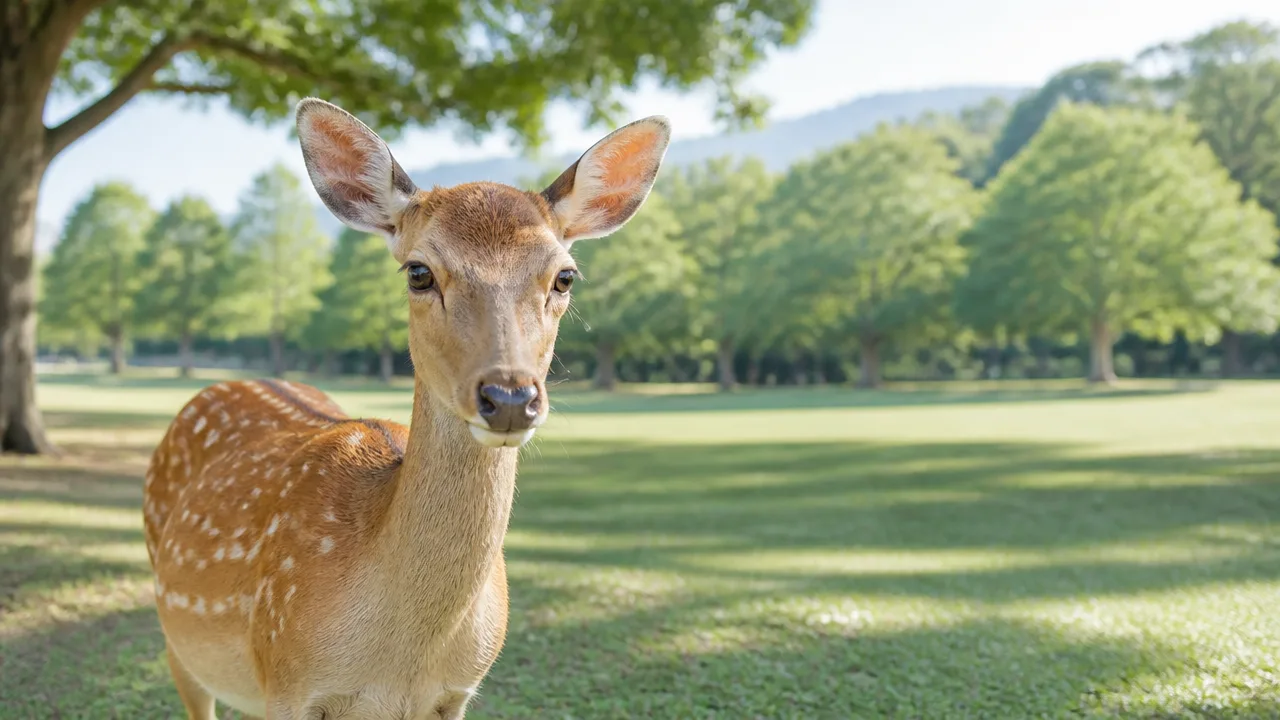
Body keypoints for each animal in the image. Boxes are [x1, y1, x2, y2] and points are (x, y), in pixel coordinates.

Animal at [142, 97, 671, 719]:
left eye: (564, 276)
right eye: (419, 272)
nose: (509, 398)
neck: (401, 665)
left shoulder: (456, 694)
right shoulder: (288, 681)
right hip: (176, 635)